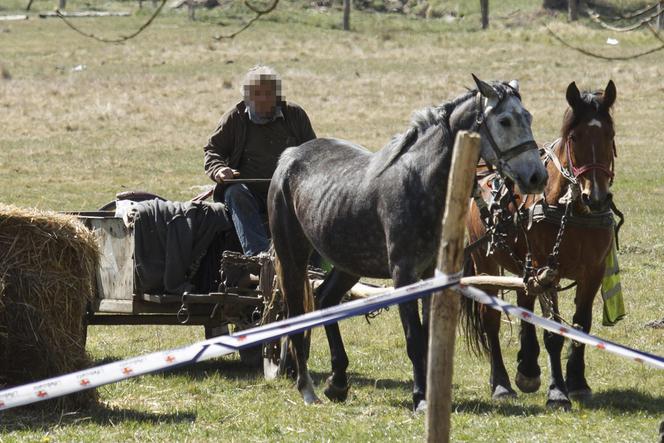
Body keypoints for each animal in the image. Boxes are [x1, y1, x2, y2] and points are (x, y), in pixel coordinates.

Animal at [268, 74, 548, 412]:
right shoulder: (403, 273)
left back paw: (338, 382)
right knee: (296, 312)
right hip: (292, 257)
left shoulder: (429, 273)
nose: (537, 177)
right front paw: (421, 398)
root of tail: (289, 156)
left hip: (348, 263)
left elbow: (427, 338)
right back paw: (307, 388)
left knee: (324, 301)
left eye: (528, 117)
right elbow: (414, 337)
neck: (422, 182)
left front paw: (428, 392)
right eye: (505, 120)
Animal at [462, 80, 616, 410]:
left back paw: (528, 366)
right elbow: (554, 334)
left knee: (524, 302)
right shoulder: (548, 269)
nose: (596, 197)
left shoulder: (593, 271)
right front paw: (557, 391)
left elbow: (582, 325)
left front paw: (577, 382)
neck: (571, 208)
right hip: (485, 260)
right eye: (574, 137)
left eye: (609, 135)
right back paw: (502, 384)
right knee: (491, 319)